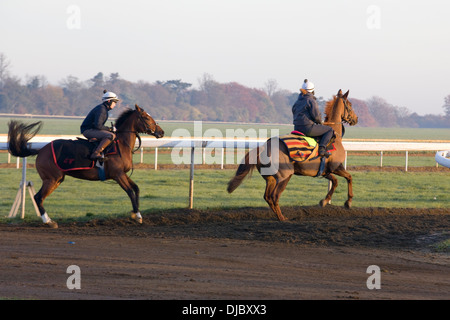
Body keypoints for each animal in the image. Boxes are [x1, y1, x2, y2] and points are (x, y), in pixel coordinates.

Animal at [7, 105, 163, 228]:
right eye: (146, 117)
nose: (161, 132)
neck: (121, 144)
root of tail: (41, 150)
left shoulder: (122, 174)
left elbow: (136, 189)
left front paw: (136, 213)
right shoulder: (117, 175)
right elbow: (130, 191)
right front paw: (137, 216)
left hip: (56, 179)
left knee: (39, 197)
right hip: (51, 179)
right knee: (38, 197)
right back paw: (49, 222)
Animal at [229, 89, 358, 221]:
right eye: (350, 105)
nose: (356, 119)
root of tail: (263, 147)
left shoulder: (324, 171)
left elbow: (335, 181)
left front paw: (325, 201)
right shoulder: (336, 167)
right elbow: (349, 177)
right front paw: (348, 202)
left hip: (270, 178)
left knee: (268, 197)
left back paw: (280, 216)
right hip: (285, 176)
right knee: (274, 196)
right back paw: (282, 218)